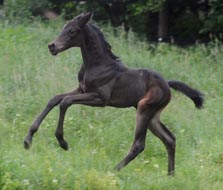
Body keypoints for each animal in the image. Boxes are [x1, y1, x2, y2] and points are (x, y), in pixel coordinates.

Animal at [23, 11, 204, 175]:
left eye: (72, 31)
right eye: (63, 28)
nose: (52, 46)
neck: (97, 64)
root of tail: (167, 84)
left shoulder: (100, 98)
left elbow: (65, 101)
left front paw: (62, 142)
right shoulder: (82, 89)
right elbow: (55, 99)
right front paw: (28, 139)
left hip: (144, 109)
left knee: (139, 144)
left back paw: (114, 170)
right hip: (153, 116)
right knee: (170, 139)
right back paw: (170, 175)